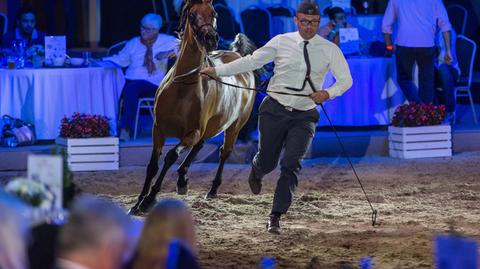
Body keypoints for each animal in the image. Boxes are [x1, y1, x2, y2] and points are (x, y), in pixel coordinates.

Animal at [126, 0, 255, 215]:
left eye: (214, 13)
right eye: (192, 14)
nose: (210, 38)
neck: (182, 86)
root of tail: (238, 55)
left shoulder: (192, 131)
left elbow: (171, 156)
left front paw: (149, 200)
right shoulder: (158, 129)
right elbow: (152, 166)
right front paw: (137, 204)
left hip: (233, 127)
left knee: (224, 152)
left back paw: (211, 190)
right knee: (200, 146)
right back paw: (182, 179)